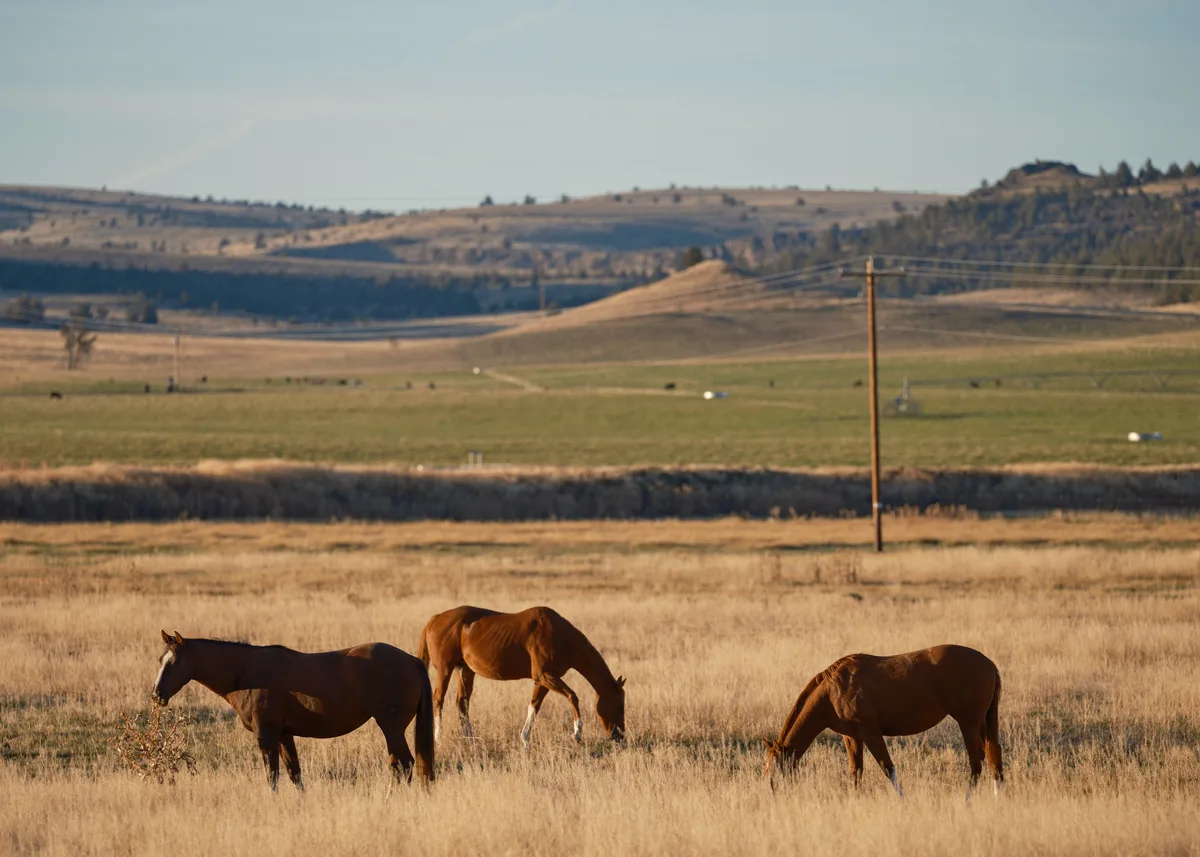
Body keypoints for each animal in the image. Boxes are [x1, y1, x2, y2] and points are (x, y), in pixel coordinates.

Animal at [152, 630, 434, 790]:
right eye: (160, 659)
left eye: (176, 661)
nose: (156, 696)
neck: (246, 673)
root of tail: (410, 659)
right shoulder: (284, 735)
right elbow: (294, 775)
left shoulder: (265, 736)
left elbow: (272, 776)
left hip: (392, 728)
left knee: (405, 766)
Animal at [416, 606, 625, 748]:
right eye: (618, 704)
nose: (620, 736)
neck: (559, 635)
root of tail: (434, 619)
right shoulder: (545, 676)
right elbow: (572, 696)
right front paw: (577, 733)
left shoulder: (543, 680)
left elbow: (534, 705)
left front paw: (525, 741)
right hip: (444, 669)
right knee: (438, 699)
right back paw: (438, 738)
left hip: (465, 670)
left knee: (462, 703)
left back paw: (470, 740)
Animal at [763, 644, 1003, 799]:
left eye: (773, 769)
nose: (769, 794)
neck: (833, 691)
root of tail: (988, 663)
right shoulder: (851, 736)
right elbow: (856, 770)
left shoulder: (870, 732)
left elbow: (887, 768)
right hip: (982, 724)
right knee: (994, 757)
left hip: (968, 723)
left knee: (977, 763)